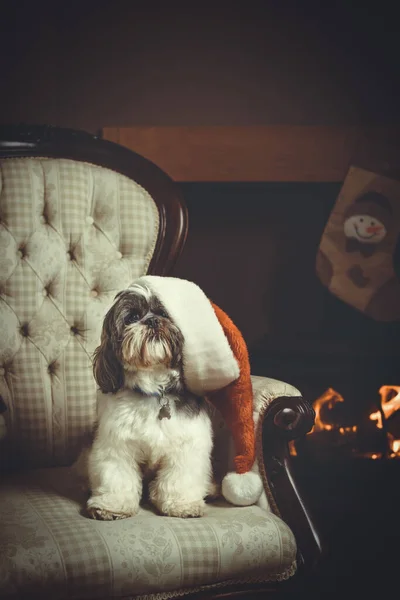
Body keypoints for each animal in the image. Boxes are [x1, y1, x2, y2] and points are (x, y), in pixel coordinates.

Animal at [85, 284, 214, 516]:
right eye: (133, 317)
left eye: (164, 314)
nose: (153, 321)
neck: (154, 391)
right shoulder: (116, 445)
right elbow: (117, 475)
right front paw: (113, 504)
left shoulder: (187, 447)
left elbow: (179, 478)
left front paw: (182, 504)